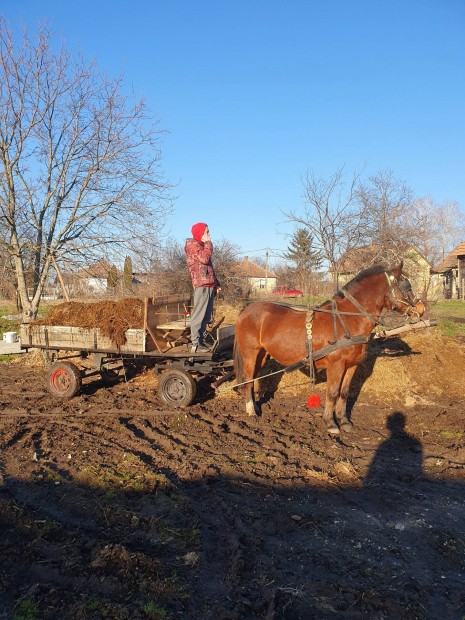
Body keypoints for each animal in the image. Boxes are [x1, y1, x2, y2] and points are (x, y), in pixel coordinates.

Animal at [234, 264, 426, 434]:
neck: (348, 320)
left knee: (252, 379)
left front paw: (344, 421)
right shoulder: (336, 365)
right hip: (250, 354)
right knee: (248, 379)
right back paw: (251, 410)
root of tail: (245, 311)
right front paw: (331, 423)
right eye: (406, 286)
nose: (421, 308)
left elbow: (344, 392)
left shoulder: (351, 366)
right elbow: (332, 393)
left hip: (262, 355)